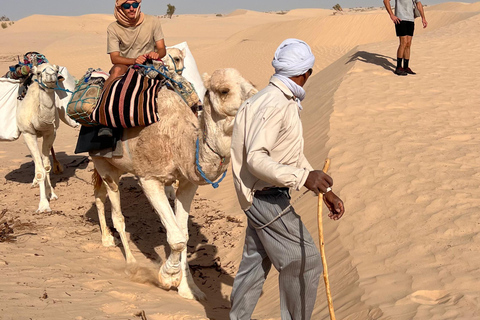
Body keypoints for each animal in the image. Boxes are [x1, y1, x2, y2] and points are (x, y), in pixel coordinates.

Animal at [16, 61, 64, 214]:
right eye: (38, 72)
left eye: (56, 70)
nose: (50, 76)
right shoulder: (28, 133)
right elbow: (39, 171)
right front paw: (43, 205)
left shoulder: (50, 132)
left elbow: (47, 166)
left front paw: (51, 194)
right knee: (35, 161)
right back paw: (34, 182)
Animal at [92, 68, 256, 300]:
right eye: (224, 90)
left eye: (252, 85)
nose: (258, 101)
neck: (178, 142)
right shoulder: (149, 179)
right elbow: (176, 238)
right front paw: (168, 277)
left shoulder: (188, 183)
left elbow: (184, 234)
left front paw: (189, 289)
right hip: (102, 162)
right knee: (116, 212)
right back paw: (129, 261)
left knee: (99, 195)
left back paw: (107, 239)